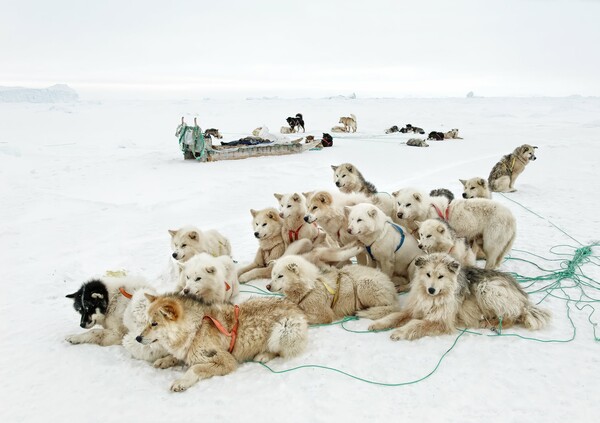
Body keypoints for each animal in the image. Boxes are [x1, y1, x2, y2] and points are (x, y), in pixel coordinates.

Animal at [139, 294, 310, 394]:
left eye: (154, 324)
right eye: (146, 322)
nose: (137, 338)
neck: (195, 329)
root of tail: (296, 307)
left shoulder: (227, 361)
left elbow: (195, 368)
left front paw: (182, 381)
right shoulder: (187, 350)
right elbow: (178, 356)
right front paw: (165, 359)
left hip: (284, 329)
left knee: (279, 350)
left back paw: (263, 355)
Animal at [268, 255, 398, 324]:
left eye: (280, 276)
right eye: (273, 274)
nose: (267, 286)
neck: (309, 287)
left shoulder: (324, 314)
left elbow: (303, 315)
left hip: (363, 284)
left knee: (387, 307)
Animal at [368, 255, 552, 342]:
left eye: (440, 276)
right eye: (428, 274)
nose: (431, 289)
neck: (433, 298)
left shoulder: (441, 320)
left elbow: (416, 324)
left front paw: (399, 332)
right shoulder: (414, 308)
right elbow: (395, 316)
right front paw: (379, 324)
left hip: (487, 288)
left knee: (511, 316)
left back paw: (491, 323)